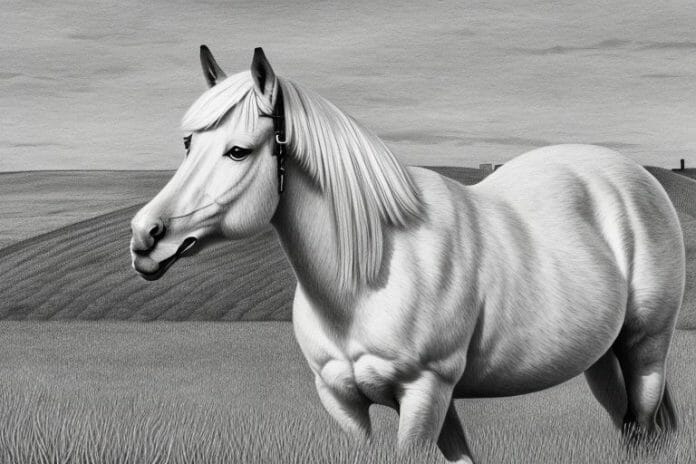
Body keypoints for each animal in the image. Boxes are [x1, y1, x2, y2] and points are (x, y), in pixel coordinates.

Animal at [130, 46, 684, 463]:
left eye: (238, 151)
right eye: (188, 144)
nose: (144, 238)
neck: (370, 274)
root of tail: (631, 176)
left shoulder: (424, 392)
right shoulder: (342, 403)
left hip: (644, 350)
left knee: (642, 420)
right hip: (602, 361)